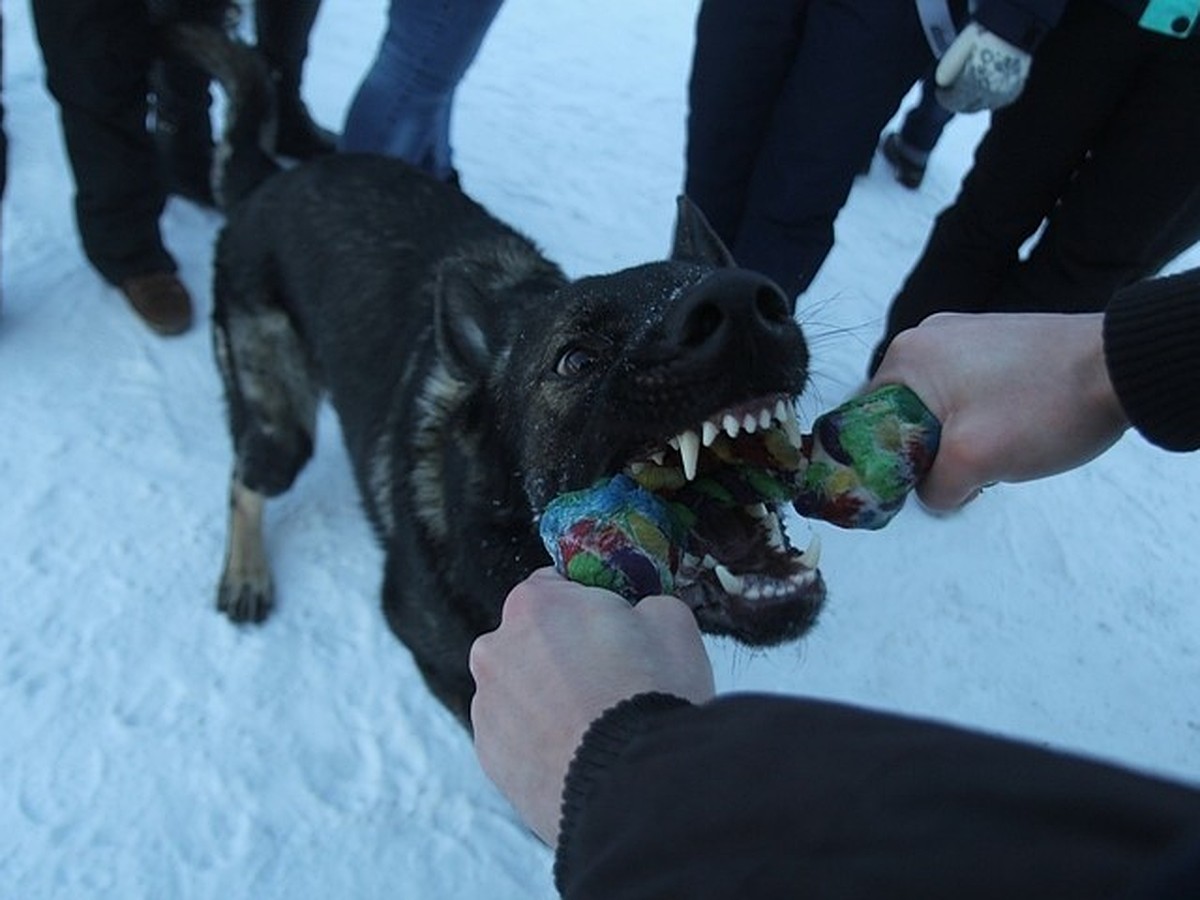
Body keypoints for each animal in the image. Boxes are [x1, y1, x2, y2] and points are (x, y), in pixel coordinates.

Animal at [184, 24, 825, 729]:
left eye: (727, 286)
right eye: (575, 359)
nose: (742, 306)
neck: (506, 529)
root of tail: (266, 184)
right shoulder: (446, 663)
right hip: (282, 430)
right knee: (245, 478)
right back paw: (246, 574)